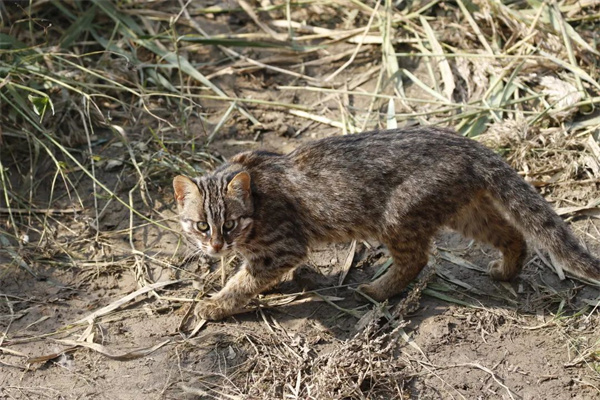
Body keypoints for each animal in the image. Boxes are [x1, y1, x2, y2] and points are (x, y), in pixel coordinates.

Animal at [173, 126, 600, 320]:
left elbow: (243, 282)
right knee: (514, 233)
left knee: (417, 260)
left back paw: (377, 290)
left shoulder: (283, 246)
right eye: (201, 226)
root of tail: (467, 143)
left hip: (397, 219)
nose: (215, 247)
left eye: (229, 224)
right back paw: (505, 271)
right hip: (466, 211)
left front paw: (214, 305)